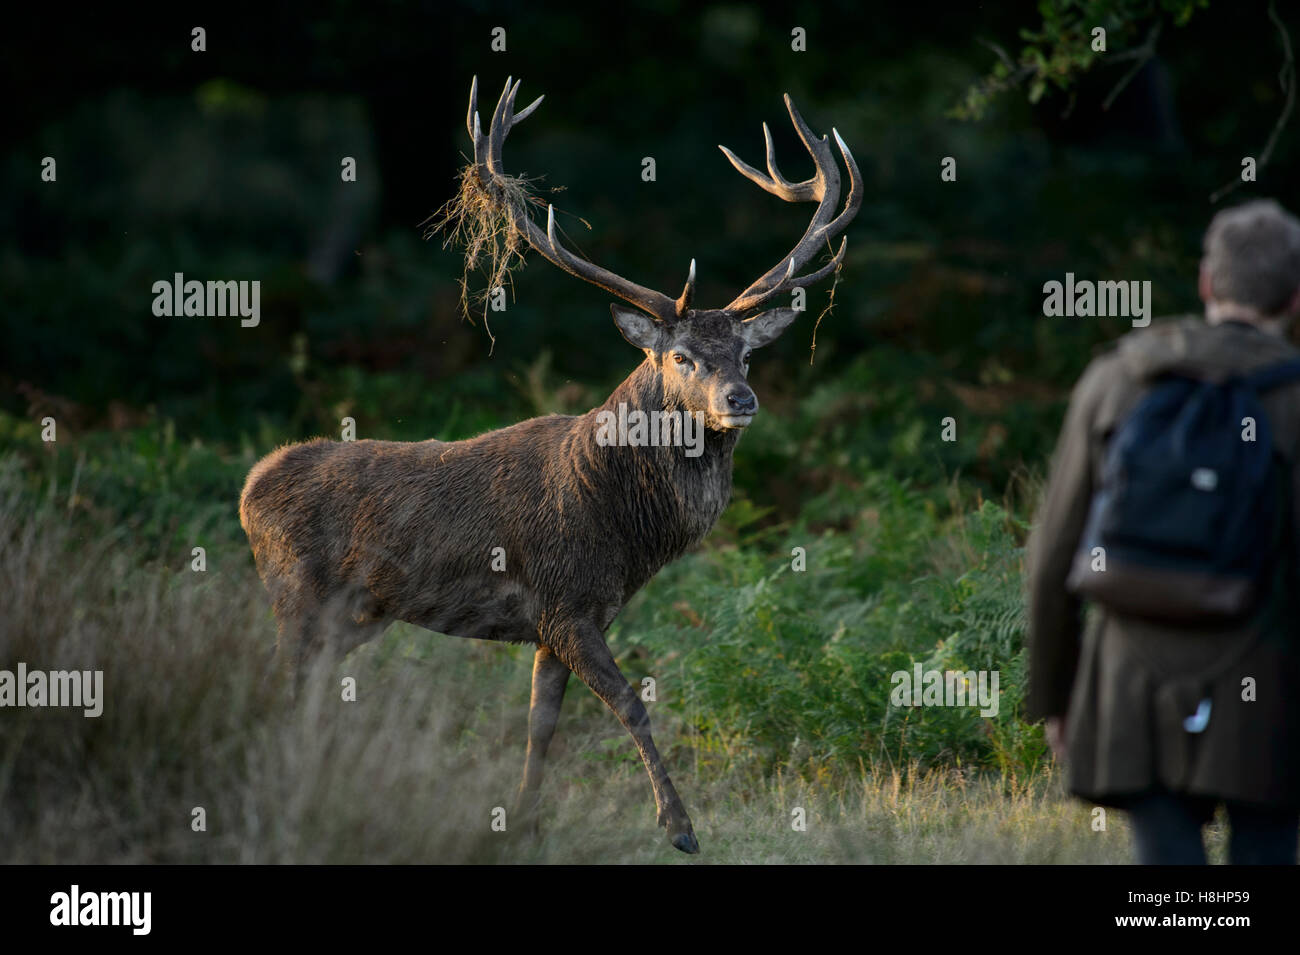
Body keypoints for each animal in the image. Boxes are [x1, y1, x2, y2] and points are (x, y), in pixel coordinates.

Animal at [239, 77, 861, 854]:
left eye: (747, 353)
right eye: (681, 356)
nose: (740, 399)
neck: (620, 522)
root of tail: (248, 486)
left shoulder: (564, 617)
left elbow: (542, 722)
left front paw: (524, 822)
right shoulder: (565, 601)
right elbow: (629, 703)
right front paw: (680, 828)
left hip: (356, 612)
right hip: (295, 591)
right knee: (279, 683)